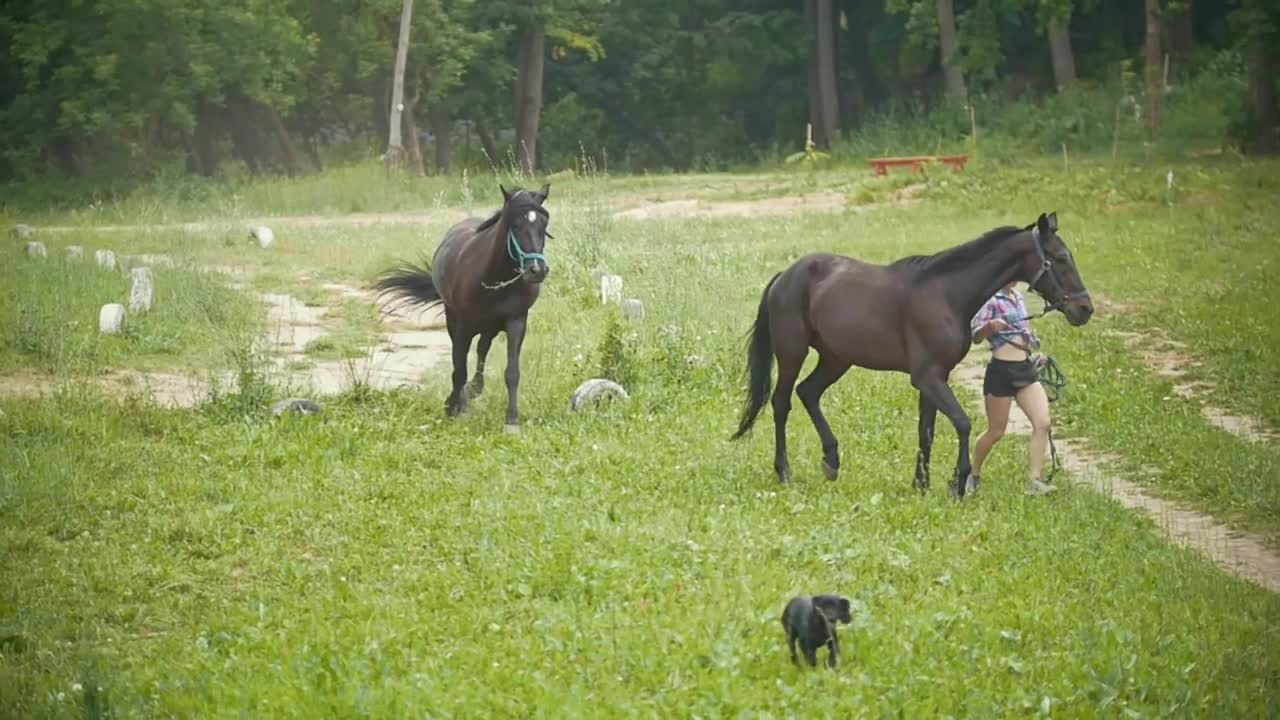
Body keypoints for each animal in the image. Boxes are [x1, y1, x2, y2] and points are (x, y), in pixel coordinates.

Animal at [371, 184, 550, 427]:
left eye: (544, 224)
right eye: (515, 224)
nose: (537, 270)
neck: (494, 277)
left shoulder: (517, 321)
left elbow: (512, 372)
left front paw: (511, 419)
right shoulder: (463, 325)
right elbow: (459, 368)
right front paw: (454, 407)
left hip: (491, 326)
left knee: (482, 348)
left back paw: (474, 389)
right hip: (456, 319)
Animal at [737, 212, 1095, 491]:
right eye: (1060, 258)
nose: (1085, 309)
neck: (946, 294)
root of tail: (785, 276)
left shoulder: (933, 378)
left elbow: (927, 431)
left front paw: (921, 483)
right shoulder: (928, 377)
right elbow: (962, 423)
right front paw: (957, 481)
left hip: (836, 358)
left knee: (808, 393)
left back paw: (831, 460)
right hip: (792, 354)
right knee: (782, 402)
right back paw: (784, 471)